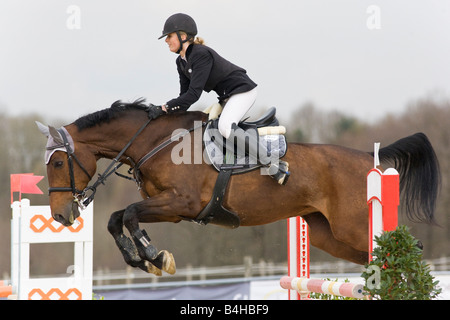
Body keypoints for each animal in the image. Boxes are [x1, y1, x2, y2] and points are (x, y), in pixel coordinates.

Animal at [36, 100, 440, 276]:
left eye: (56, 163)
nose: (61, 215)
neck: (157, 141)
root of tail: (369, 157)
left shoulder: (180, 204)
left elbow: (131, 215)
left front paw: (156, 257)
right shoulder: (170, 208)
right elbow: (116, 219)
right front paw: (139, 260)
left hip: (354, 225)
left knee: (408, 248)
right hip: (331, 235)